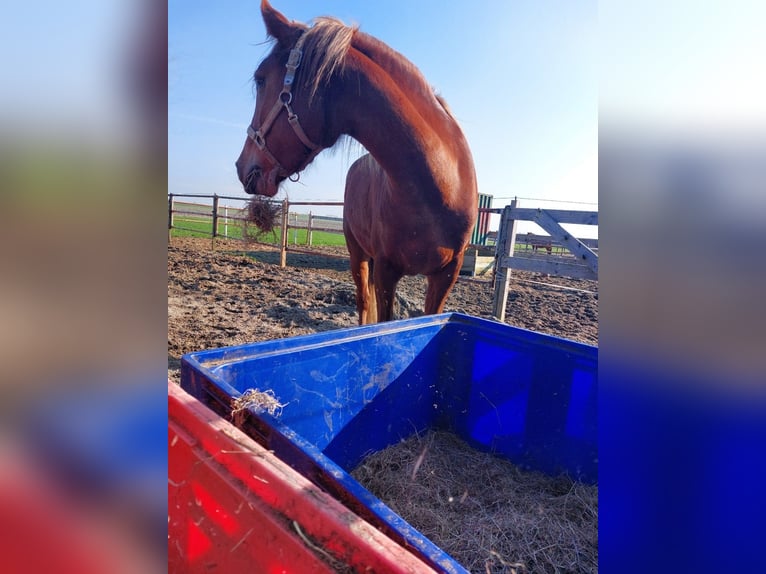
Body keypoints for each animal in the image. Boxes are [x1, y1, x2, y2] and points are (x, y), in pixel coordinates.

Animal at [236, 1, 478, 324]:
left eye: (261, 78)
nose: (243, 168)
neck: (438, 184)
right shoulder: (387, 269)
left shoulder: (446, 274)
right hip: (358, 253)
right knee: (363, 303)